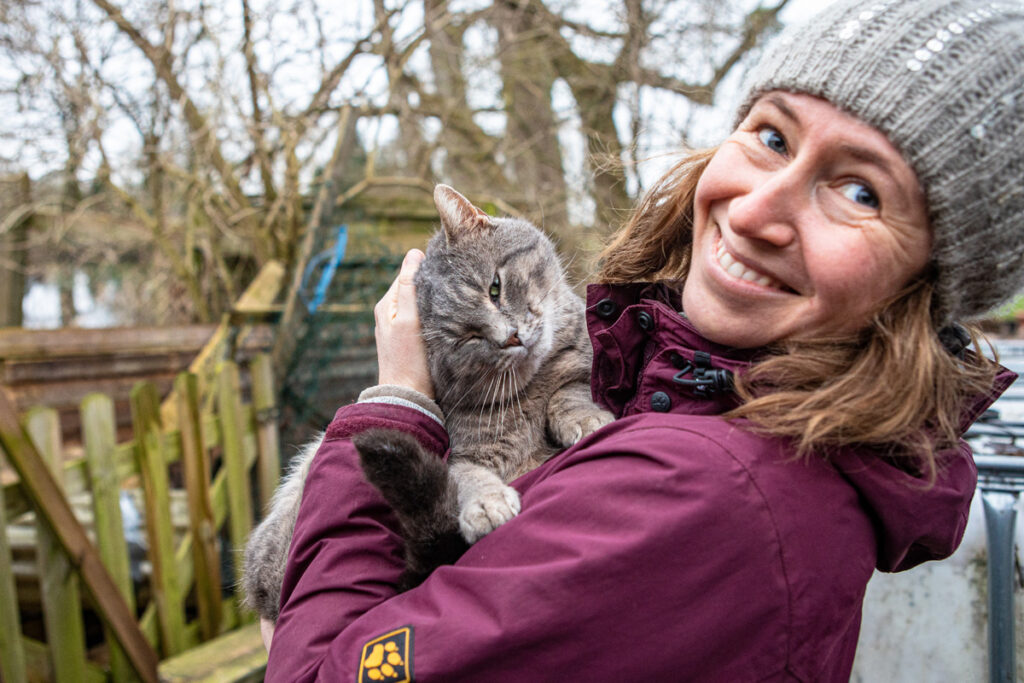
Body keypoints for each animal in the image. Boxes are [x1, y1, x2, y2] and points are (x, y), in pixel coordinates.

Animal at [241, 184, 606, 622]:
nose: (511, 337)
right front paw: (486, 505)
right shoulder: (461, 455)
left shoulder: (579, 365)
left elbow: (570, 391)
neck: (528, 389)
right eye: (468, 338)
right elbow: (466, 477)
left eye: (495, 288)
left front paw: (583, 419)